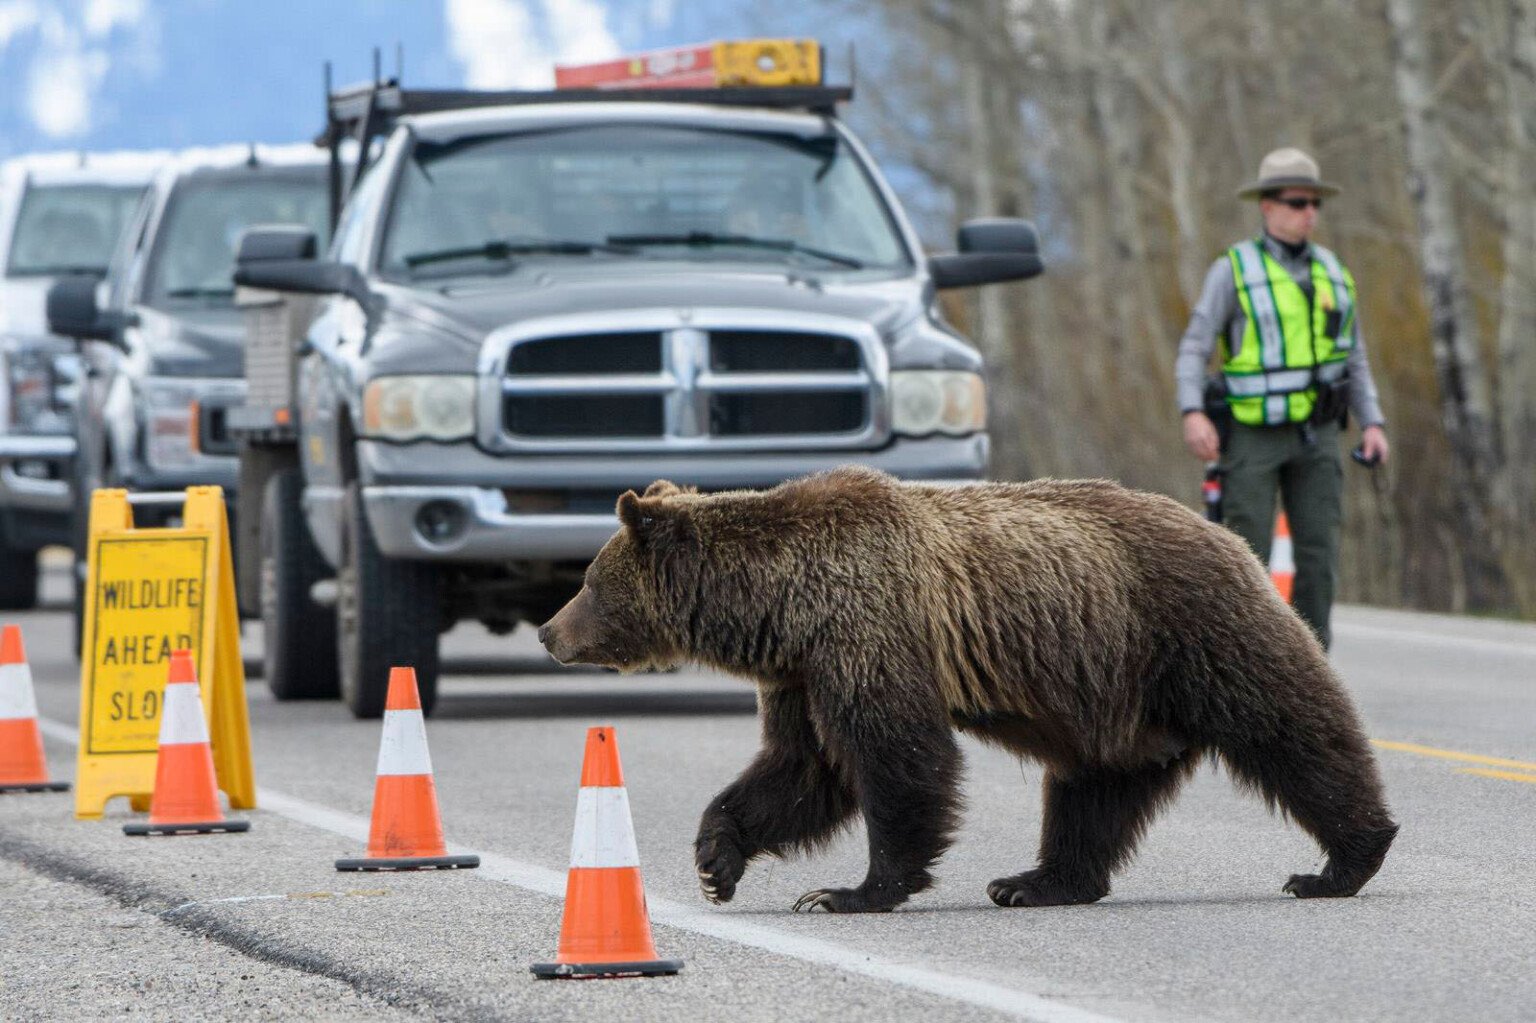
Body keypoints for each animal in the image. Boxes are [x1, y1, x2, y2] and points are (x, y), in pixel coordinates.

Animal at [534, 466, 1400, 909]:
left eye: (590, 580)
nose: (549, 630)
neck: (779, 602)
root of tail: (1227, 533)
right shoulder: (804, 669)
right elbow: (801, 768)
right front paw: (717, 859)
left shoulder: (867, 628)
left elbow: (897, 758)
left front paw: (851, 889)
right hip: (1115, 698)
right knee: (1094, 789)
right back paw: (1036, 880)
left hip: (1192, 631)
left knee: (1291, 728)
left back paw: (1339, 861)